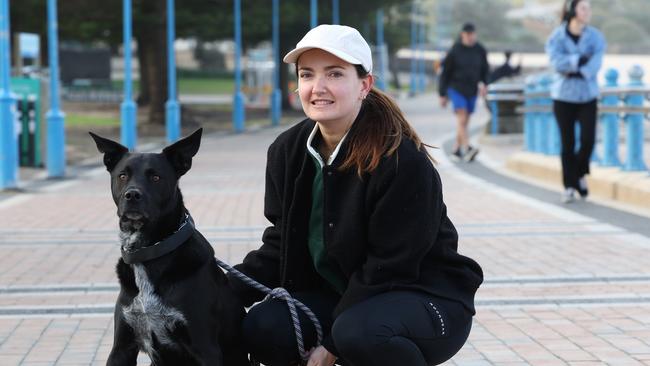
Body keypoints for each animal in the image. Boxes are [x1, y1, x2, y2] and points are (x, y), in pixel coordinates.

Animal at [87, 130, 247, 364]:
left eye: (156, 177)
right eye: (122, 176)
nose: (132, 195)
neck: (148, 251)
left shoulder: (206, 348)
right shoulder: (121, 348)